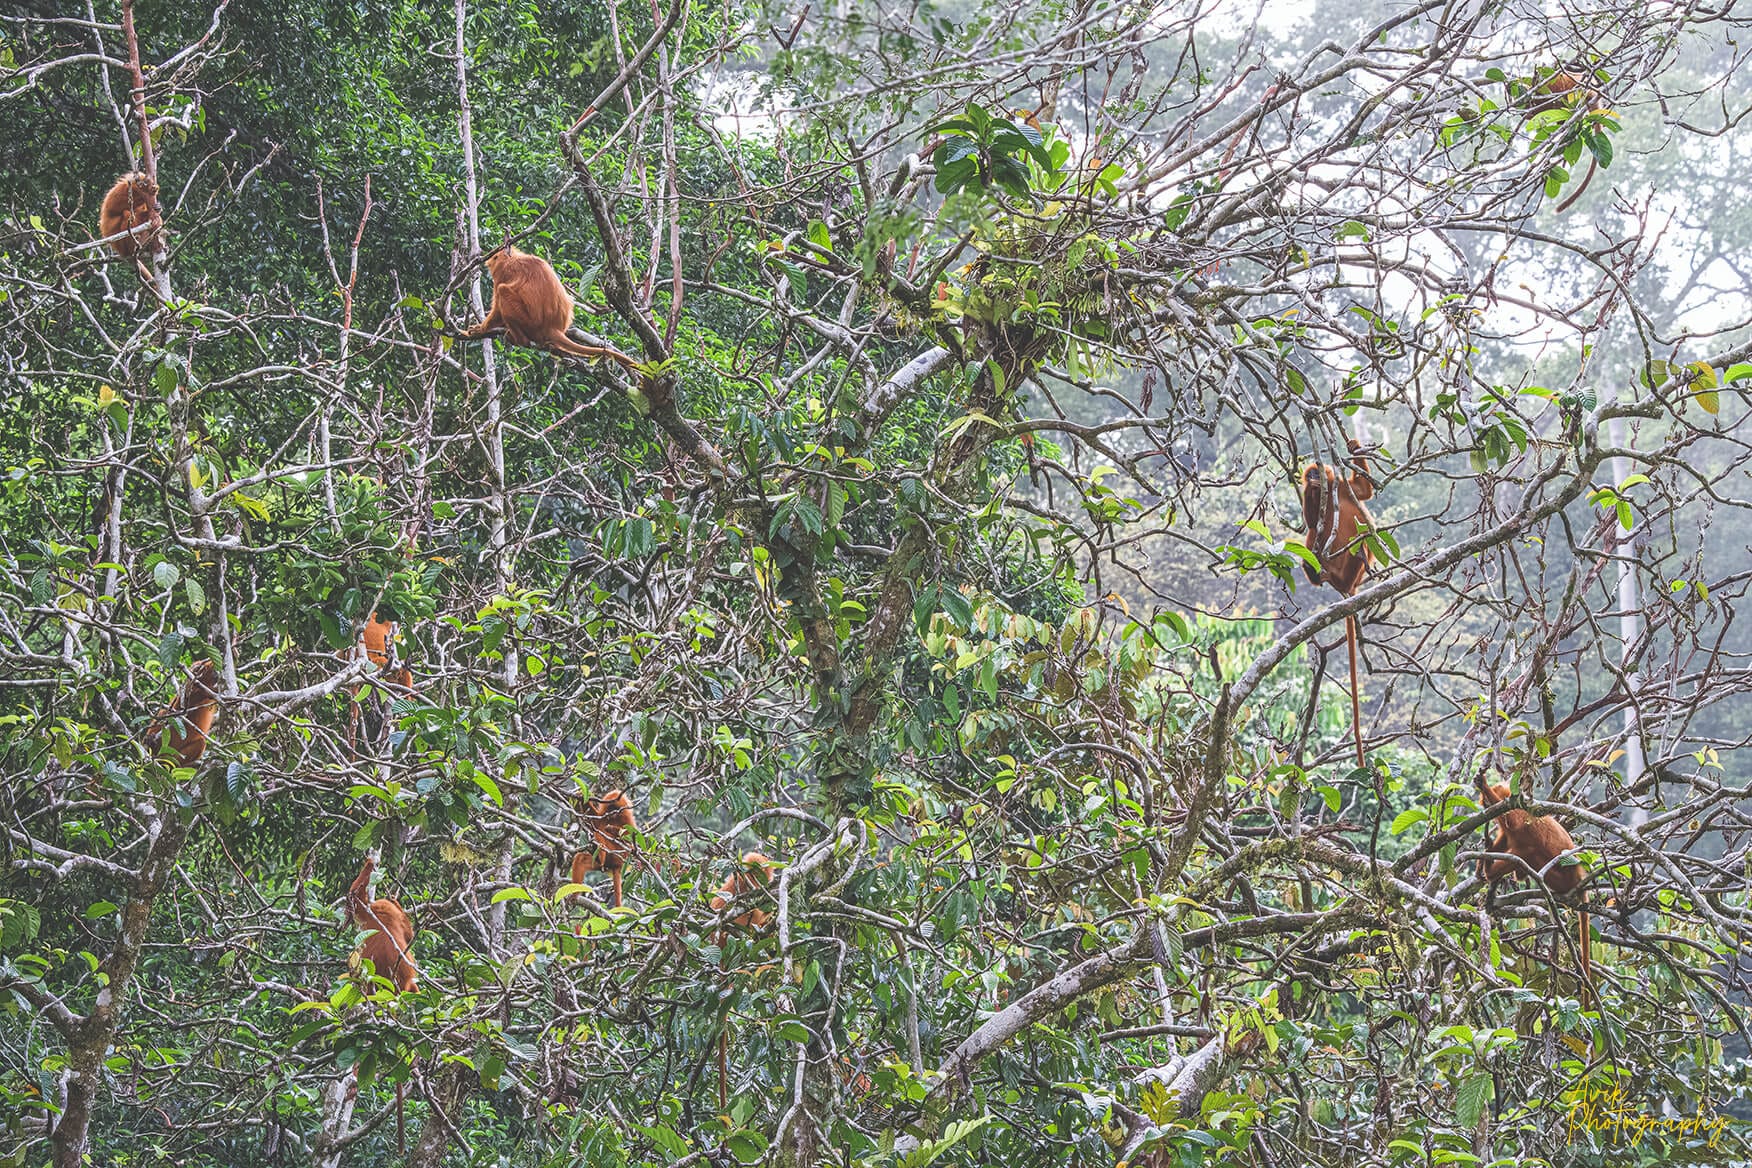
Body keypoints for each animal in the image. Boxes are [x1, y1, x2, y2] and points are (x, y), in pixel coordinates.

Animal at [462, 246, 641, 370]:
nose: (488, 267)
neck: (512, 258)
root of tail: (552, 327)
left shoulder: (503, 273)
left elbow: (497, 310)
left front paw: (481, 328)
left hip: (530, 324)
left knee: (503, 291)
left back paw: (519, 339)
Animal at [1476, 778, 1592, 1001]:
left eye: (1486, 801)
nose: (1486, 807)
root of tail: (1579, 876)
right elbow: (1504, 839)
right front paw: (1483, 862)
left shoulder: (1520, 811)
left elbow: (1512, 822)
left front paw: (1484, 785)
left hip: (1559, 878)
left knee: (1527, 851)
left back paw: (1492, 872)